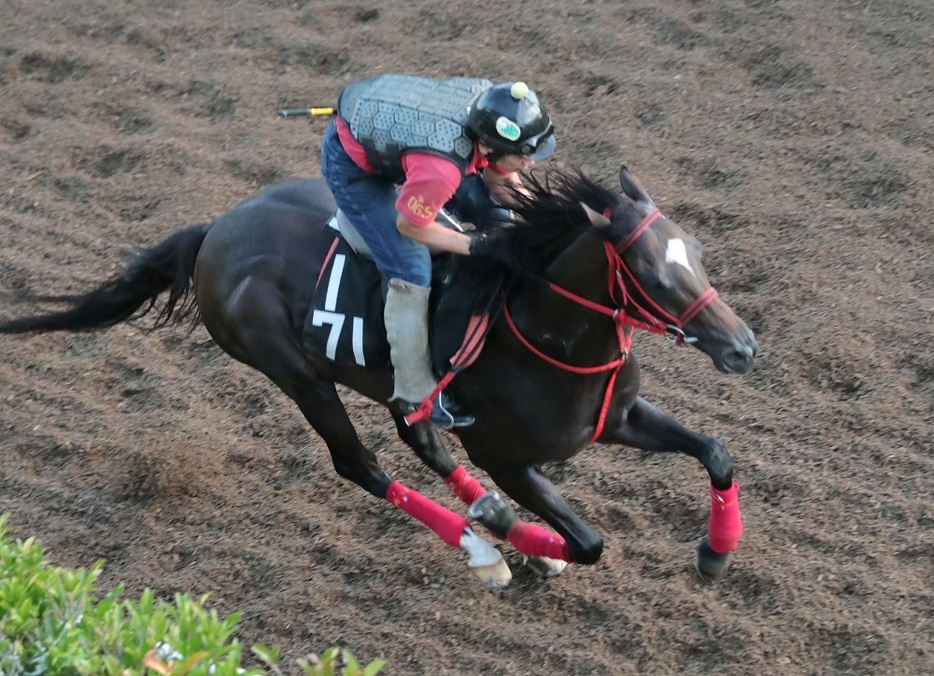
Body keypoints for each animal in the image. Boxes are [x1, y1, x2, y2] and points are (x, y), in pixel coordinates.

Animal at [0, 166, 760, 588]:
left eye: (697, 251)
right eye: (655, 274)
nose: (743, 347)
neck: (544, 332)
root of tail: (215, 229)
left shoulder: (617, 418)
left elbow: (716, 450)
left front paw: (715, 553)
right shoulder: (507, 456)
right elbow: (589, 540)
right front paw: (538, 548)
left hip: (391, 384)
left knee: (420, 439)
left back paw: (490, 520)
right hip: (296, 373)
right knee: (360, 463)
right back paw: (485, 549)